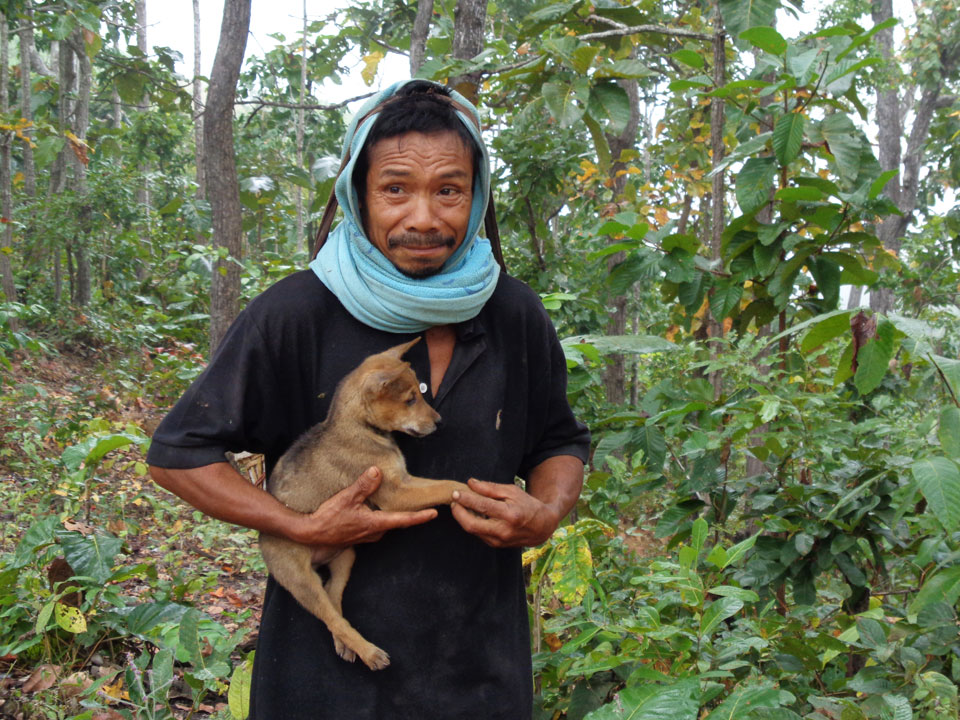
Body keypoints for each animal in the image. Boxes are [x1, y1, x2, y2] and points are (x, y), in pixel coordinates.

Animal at [255, 338, 464, 668]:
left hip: (346, 556)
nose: (440, 422)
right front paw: (470, 492)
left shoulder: (404, 480)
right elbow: (446, 486)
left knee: (333, 598)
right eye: (410, 400)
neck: (363, 427)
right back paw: (369, 652)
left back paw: (346, 645)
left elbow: (440, 484)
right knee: (329, 615)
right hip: (301, 579)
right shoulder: (394, 494)